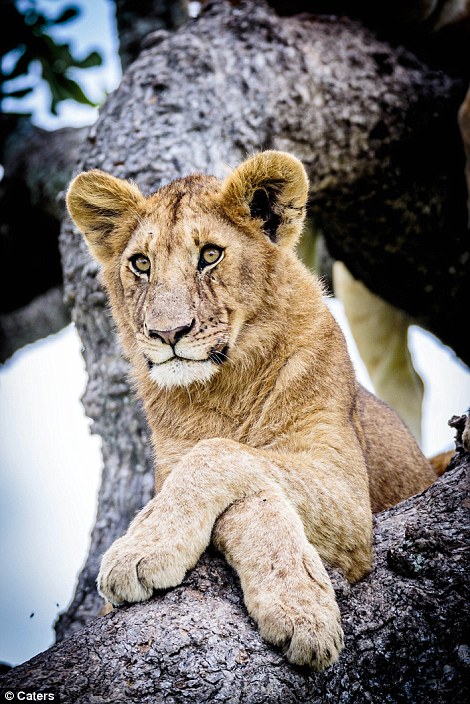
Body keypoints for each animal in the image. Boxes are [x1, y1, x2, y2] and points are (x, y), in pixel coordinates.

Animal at [66, 151, 438, 671]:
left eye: (210, 255)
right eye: (140, 263)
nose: (167, 333)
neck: (226, 386)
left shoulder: (347, 491)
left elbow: (222, 457)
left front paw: (300, 609)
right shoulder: (175, 465)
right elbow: (241, 488)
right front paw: (301, 606)